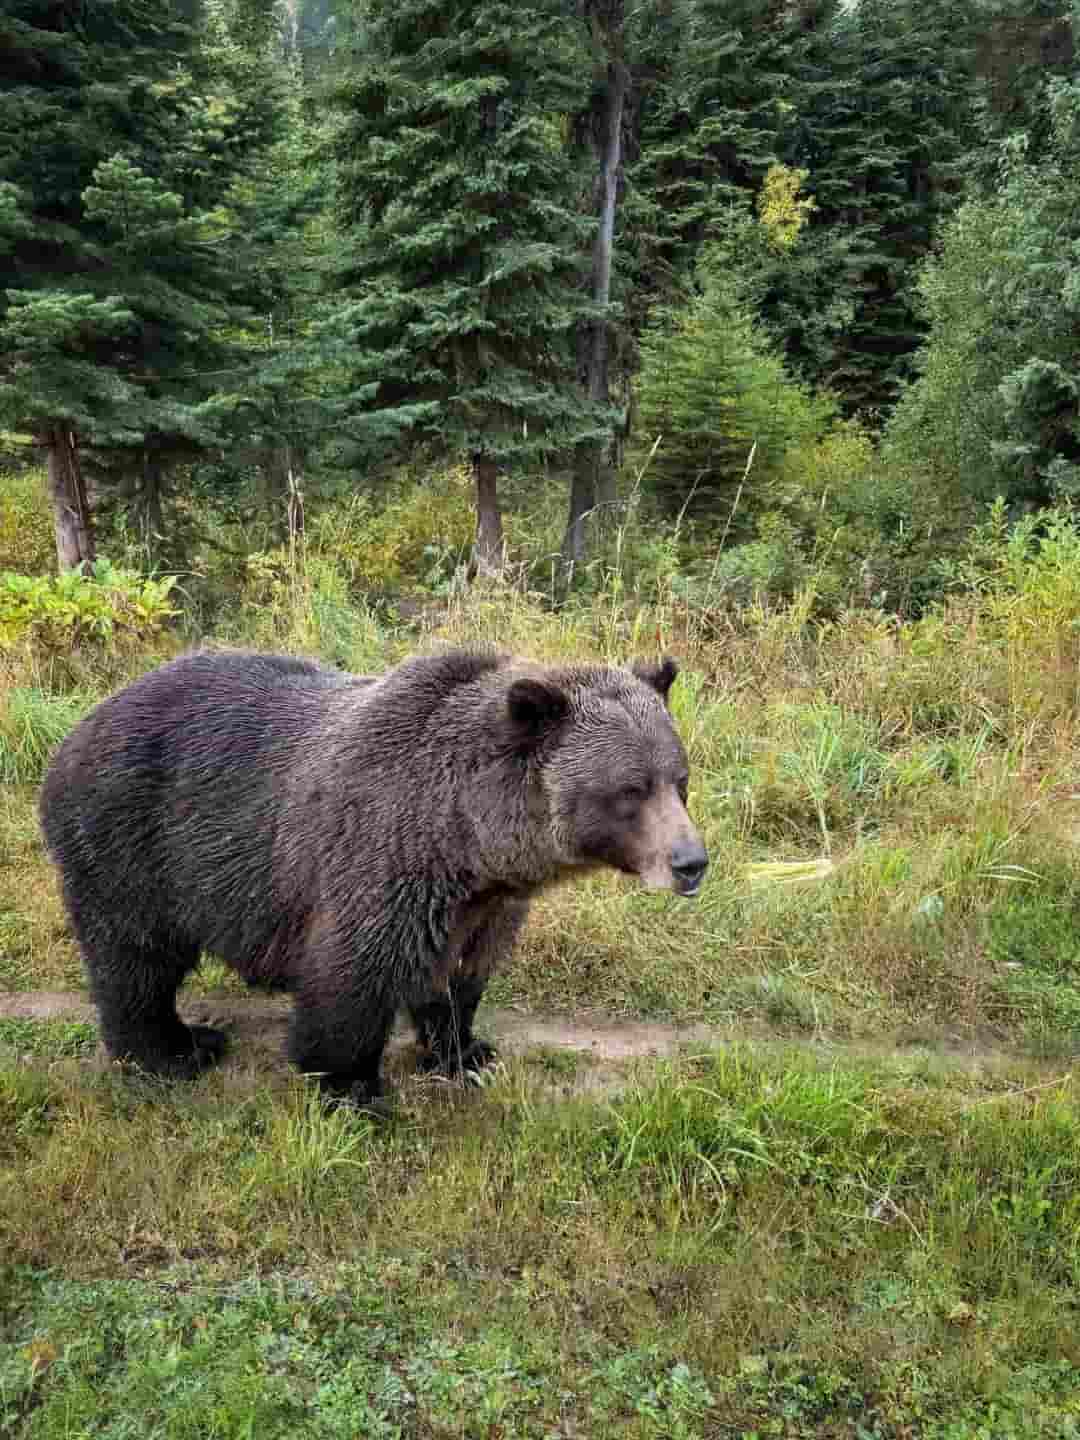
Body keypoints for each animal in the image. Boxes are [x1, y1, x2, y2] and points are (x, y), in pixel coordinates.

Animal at [38, 646, 708, 1107]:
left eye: (679, 779)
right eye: (630, 790)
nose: (691, 862)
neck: (466, 838)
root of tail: (79, 724)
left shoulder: (481, 902)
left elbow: (462, 972)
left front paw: (466, 1050)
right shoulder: (378, 857)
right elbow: (352, 976)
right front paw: (352, 1086)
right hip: (131, 842)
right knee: (136, 956)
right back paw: (174, 1050)